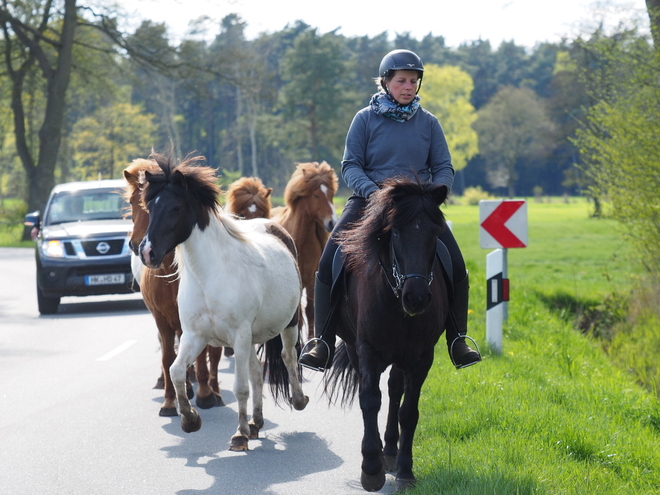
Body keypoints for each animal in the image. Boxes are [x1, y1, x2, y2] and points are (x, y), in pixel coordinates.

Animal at [123, 159, 224, 418]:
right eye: (133, 203)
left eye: (175, 209)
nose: (140, 247)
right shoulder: (162, 318)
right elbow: (168, 356)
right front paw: (170, 402)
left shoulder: (198, 320)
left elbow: (204, 354)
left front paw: (206, 394)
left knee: (213, 353)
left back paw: (213, 390)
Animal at [139, 155, 310, 454]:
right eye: (150, 207)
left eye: (175, 207)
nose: (147, 253)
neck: (210, 276)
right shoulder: (194, 336)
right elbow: (176, 371)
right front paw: (190, 420)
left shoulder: (238, 336)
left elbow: (240, 386)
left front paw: (239, 436)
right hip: (251, 338)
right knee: (256, 372)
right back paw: (255, 422)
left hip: (288, 325)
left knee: (288, 357)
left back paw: (297, 401)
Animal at [270, 163, 338, 340]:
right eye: (316, 195)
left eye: (331, 194)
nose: (332, 222)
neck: (300, 239)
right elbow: (299, 314)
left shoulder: (312, 279)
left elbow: (310, 311)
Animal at [326, 176, 452, 494]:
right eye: (395, 232)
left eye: (435, 232)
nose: (416, 298)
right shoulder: (367, 350)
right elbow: (370, 399)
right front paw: (371, 469)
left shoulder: (422, 356)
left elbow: (409, 410)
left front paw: (406, 471)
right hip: (356, 349)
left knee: (396, 389)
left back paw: (392, 452)